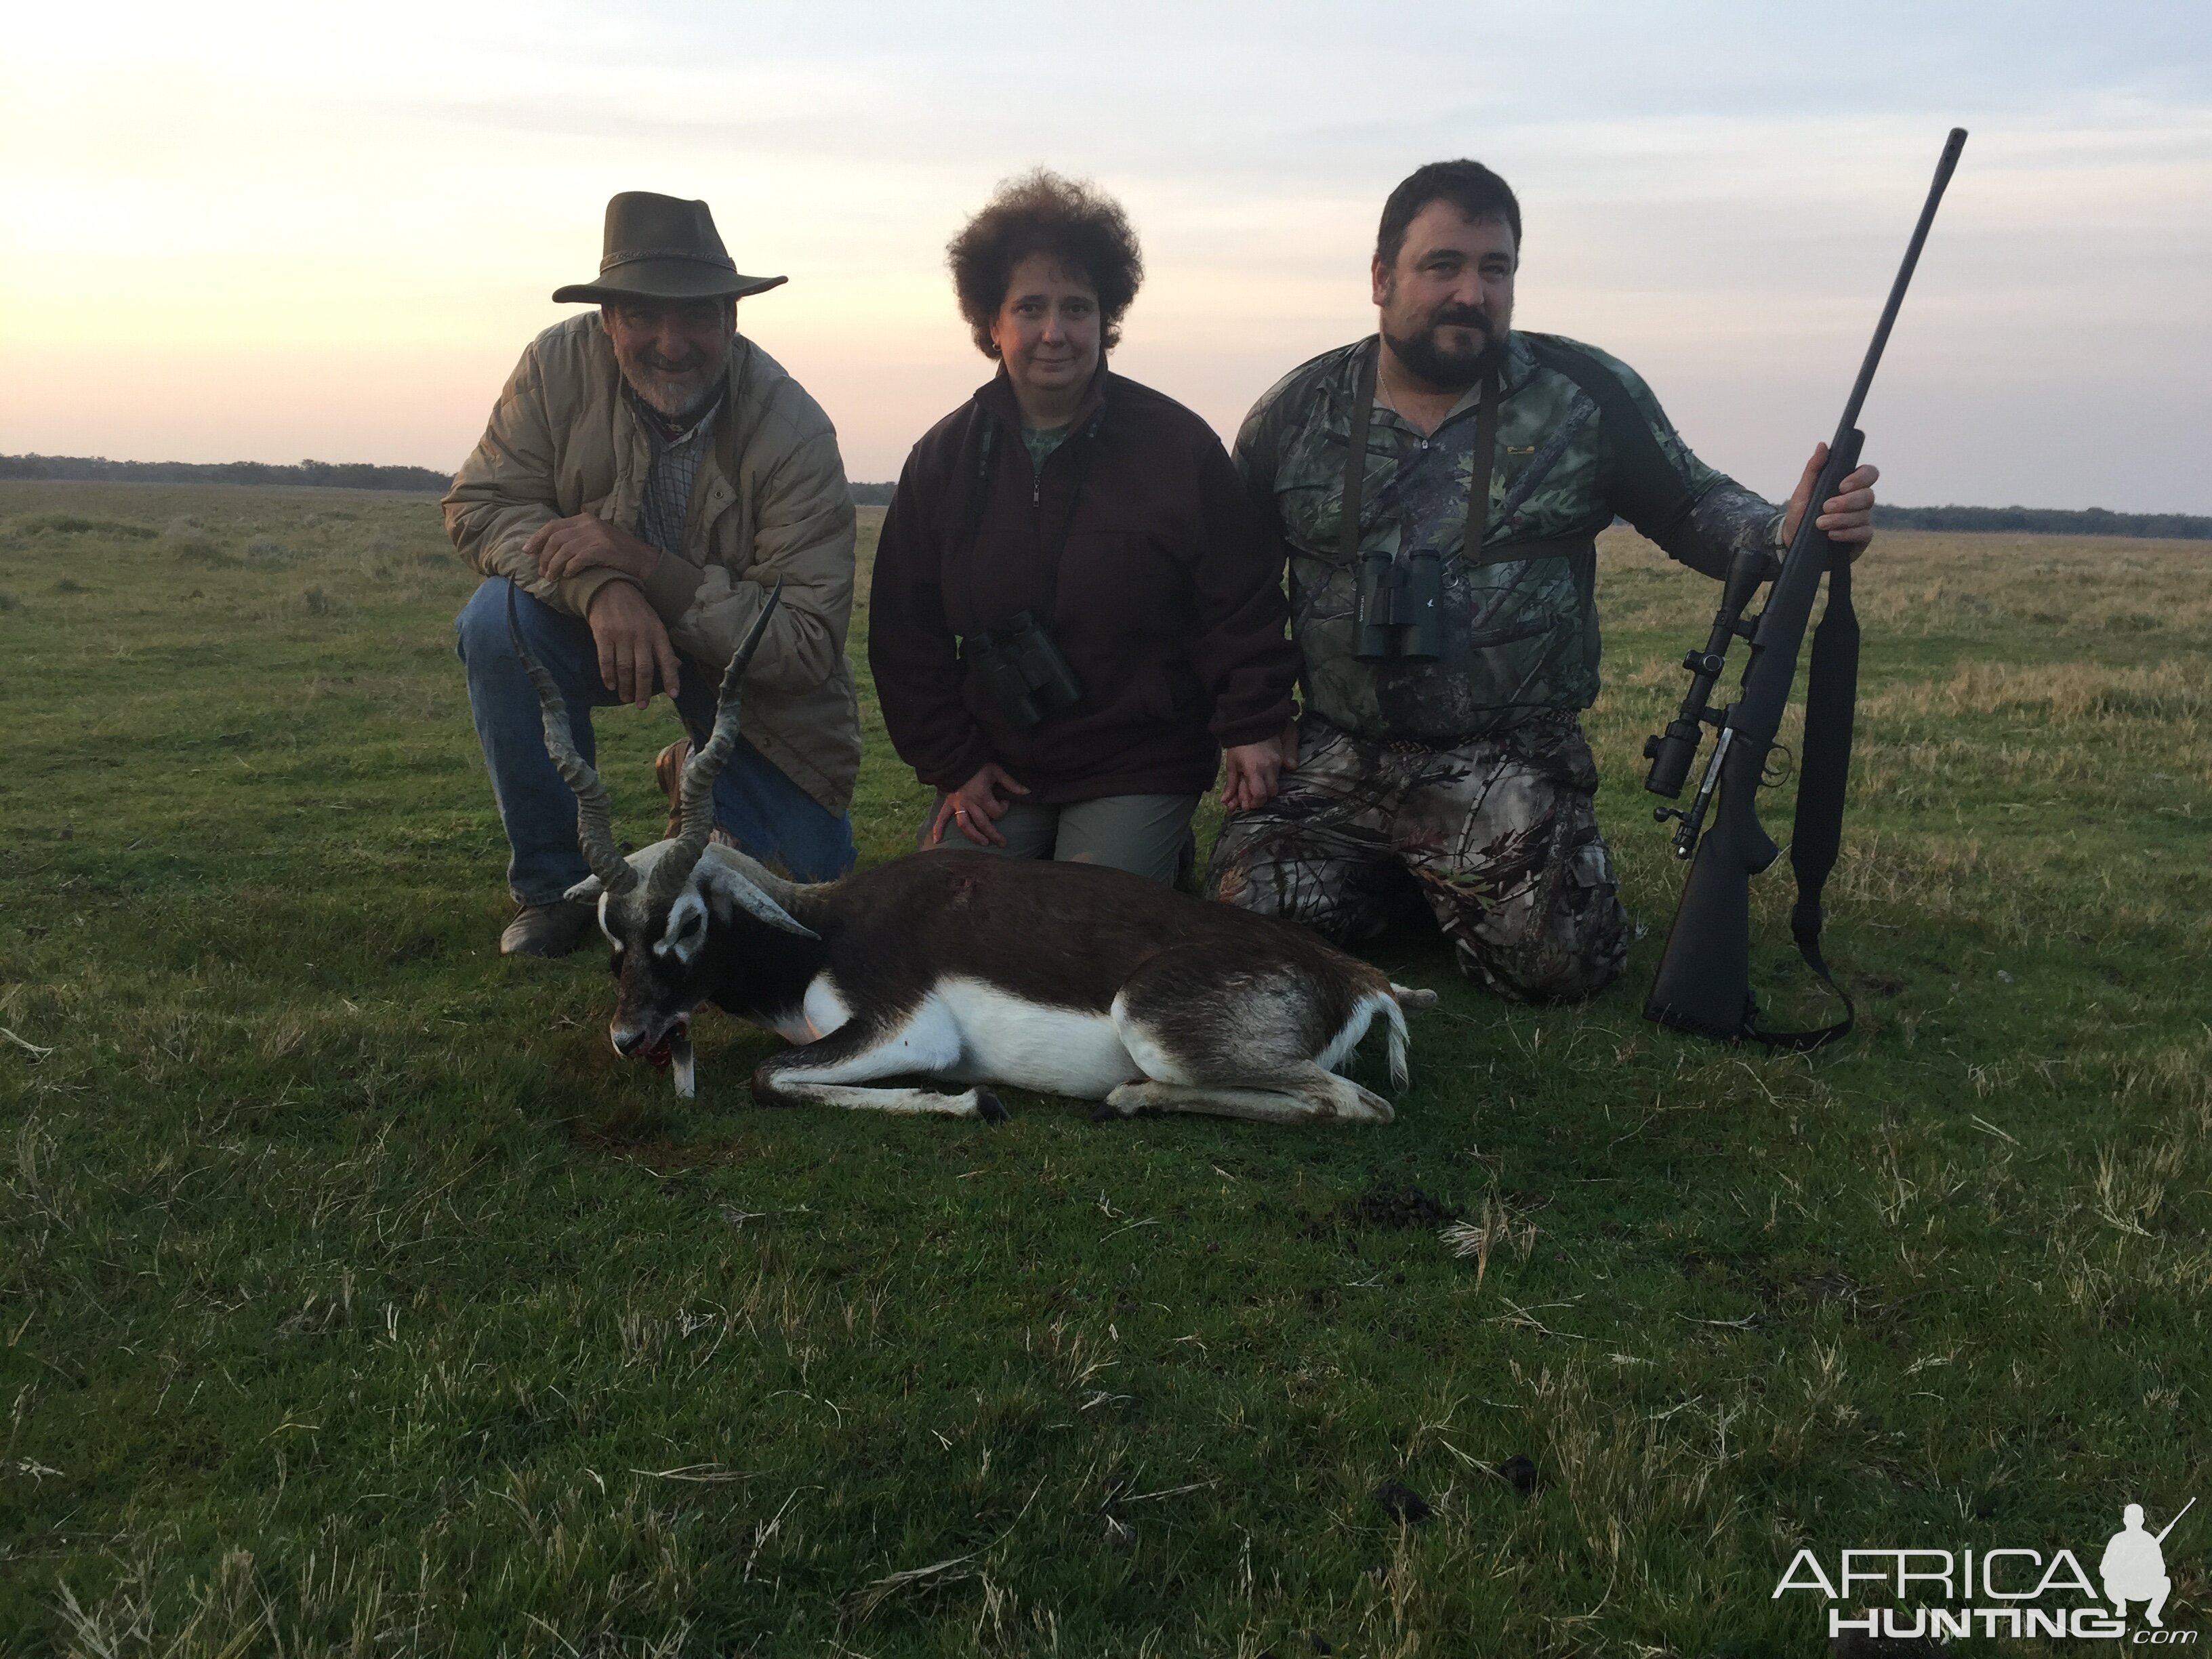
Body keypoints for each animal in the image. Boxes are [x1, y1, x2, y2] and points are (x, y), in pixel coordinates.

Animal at [508, 588, 1433, 1132]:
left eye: (691, 920)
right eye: (610, 930)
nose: (630, 1036)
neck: (822, 928)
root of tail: (1359, 982)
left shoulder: (900, 1026)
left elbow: (771, 1077)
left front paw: (972, 1098)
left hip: (1154, 1025)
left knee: (1356, 1103)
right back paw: (1127, 1098)